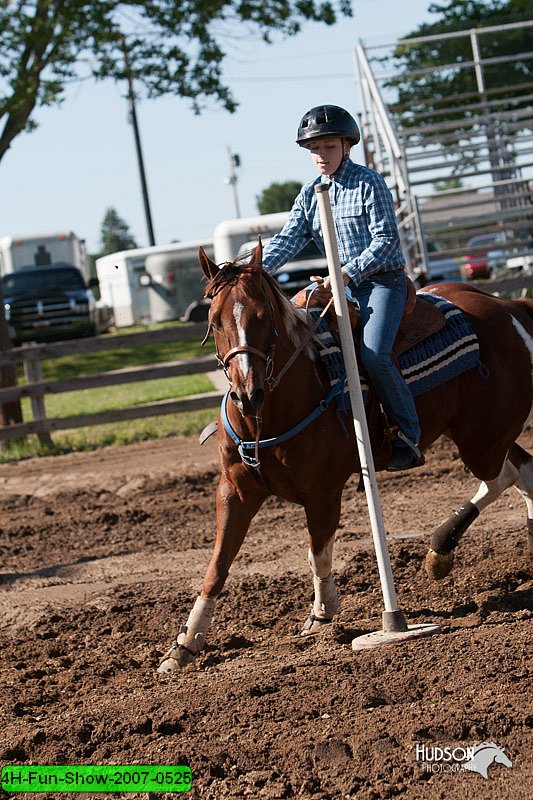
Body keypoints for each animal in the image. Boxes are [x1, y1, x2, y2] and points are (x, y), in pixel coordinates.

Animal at [158, 241, 532, 672]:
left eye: (263, 316)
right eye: (215, 321)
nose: (248, 394)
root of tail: (508, 307)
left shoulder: (323, 493)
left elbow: (317, 552)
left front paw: (323, 614)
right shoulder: (234, 491)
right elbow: (217, 565)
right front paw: (185, 644)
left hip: (481, 440)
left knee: (501, 477)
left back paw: (439, 550)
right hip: (484, 434)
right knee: (522, 470)